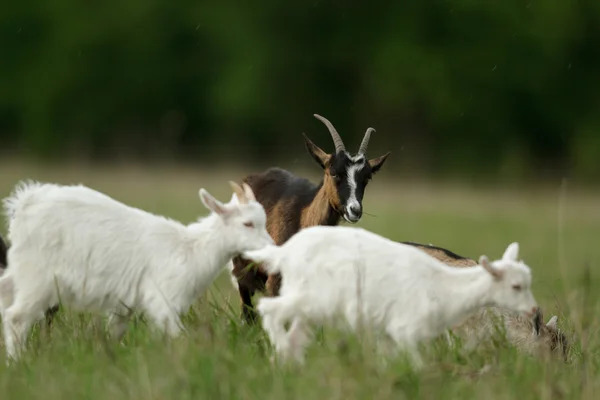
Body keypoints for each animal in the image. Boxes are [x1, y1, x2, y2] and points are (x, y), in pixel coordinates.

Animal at [0, 180, 274, 360]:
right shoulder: (163, 298)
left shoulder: (125, 305)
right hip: (38, 279)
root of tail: (24, 204)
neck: (190, 248)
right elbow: (178, 335)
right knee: (16, 318)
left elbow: (115, 333)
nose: (273, 248)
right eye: (248, 224)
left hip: (19, 270)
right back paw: (18, 363)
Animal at [229, 114, 390, 324]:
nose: (354, 210)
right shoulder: (276, 279)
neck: (302, 218)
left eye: (367, 178)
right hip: (242, 268)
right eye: (334, 172)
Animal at [243, 225, 540, 366]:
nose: (534, 311)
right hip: (312, 301)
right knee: (270, 311)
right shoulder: (407, 329)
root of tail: (283, 253)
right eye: (516, 286)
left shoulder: (391, 334)